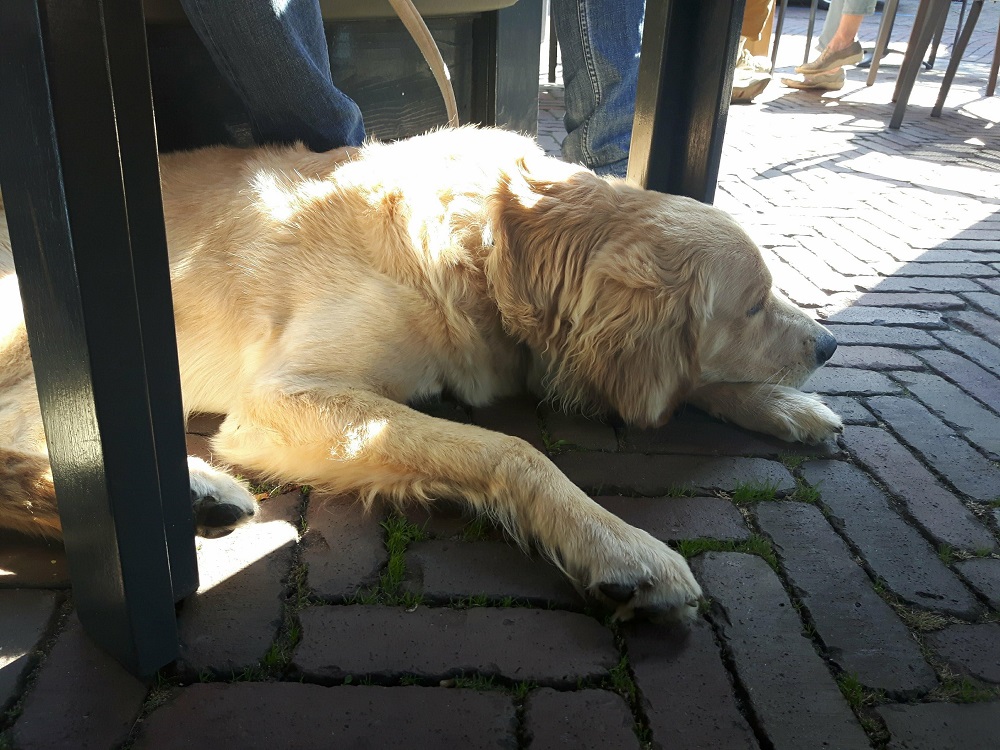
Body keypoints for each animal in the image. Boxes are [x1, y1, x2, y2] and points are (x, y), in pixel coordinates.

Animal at [0, 128, 840, 624]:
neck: (494, 236)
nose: (831, 344)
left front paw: (784, 406)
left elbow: (687, 380)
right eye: (753, 304)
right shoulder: (285, 395)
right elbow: (510, 449)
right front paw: (617, 545)